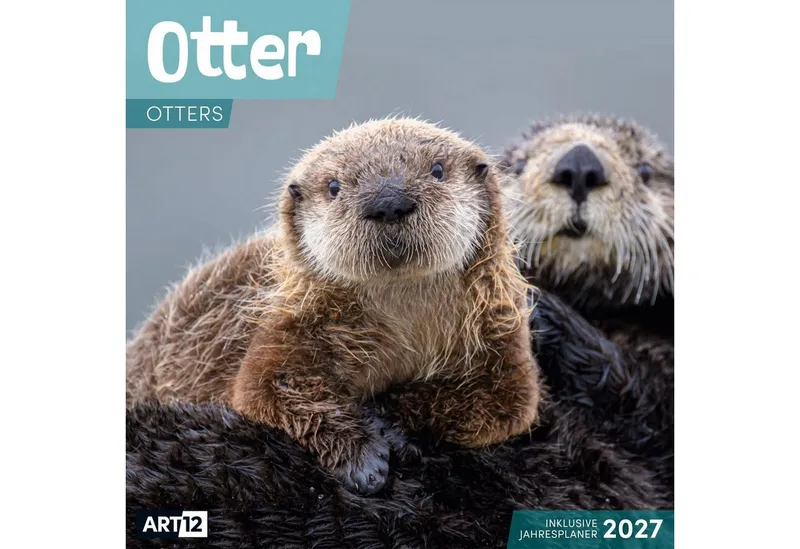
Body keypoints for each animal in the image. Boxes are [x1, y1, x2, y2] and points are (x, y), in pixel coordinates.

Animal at [126, 117, 542, 495]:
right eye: (334, 186)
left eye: (437, 170)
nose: (389, 202)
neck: (403, 324)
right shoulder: (293, 323)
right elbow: (267, 387)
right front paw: (363, 460)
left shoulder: (497, 330)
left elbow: (505, 402)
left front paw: (390, 421)